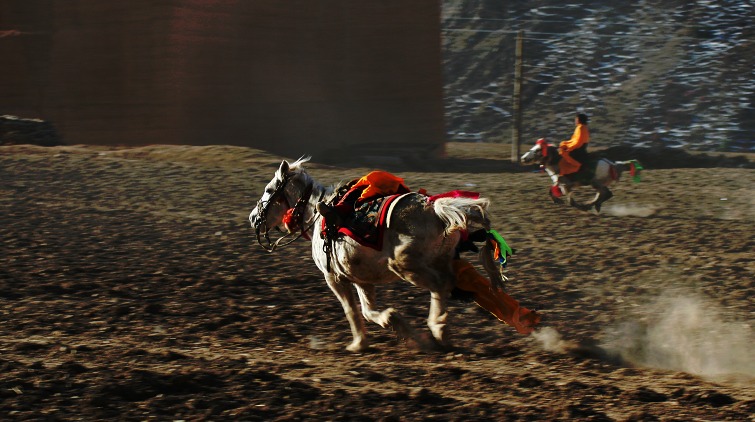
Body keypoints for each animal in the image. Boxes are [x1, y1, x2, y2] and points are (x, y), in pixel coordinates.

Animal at [251, 157, 504, 352]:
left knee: (440, 285)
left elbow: (351, 310)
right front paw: (391, 321)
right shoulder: (361, 279)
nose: (254, 218)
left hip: (404, 265)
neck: (317, 212)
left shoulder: (334, 278)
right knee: (446, 285)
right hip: (439, 260)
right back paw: (440, 333)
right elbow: (367, 310)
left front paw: (358, 344)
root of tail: (437, 209)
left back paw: (438, 330)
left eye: (269, 190)